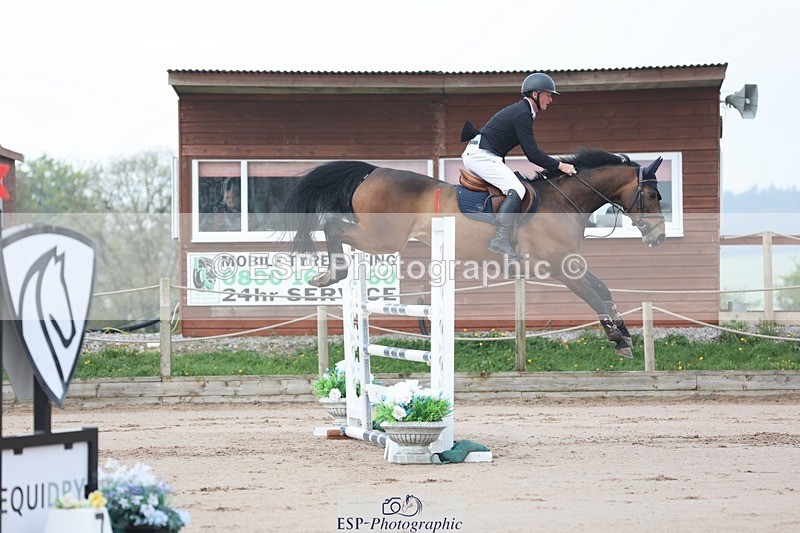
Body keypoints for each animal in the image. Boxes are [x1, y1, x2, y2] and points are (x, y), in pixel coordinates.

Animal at [283, 148, 666, 357]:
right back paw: (330, 273)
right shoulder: (561, 266)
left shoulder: (568, 265)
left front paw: (624, 335)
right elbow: (594, 295)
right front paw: (617, 338)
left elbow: (603, 289)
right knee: (333, 225)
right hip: (382, 237)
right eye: (652, 195)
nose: (659, 237)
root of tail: (372, 171)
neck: (564, 201)